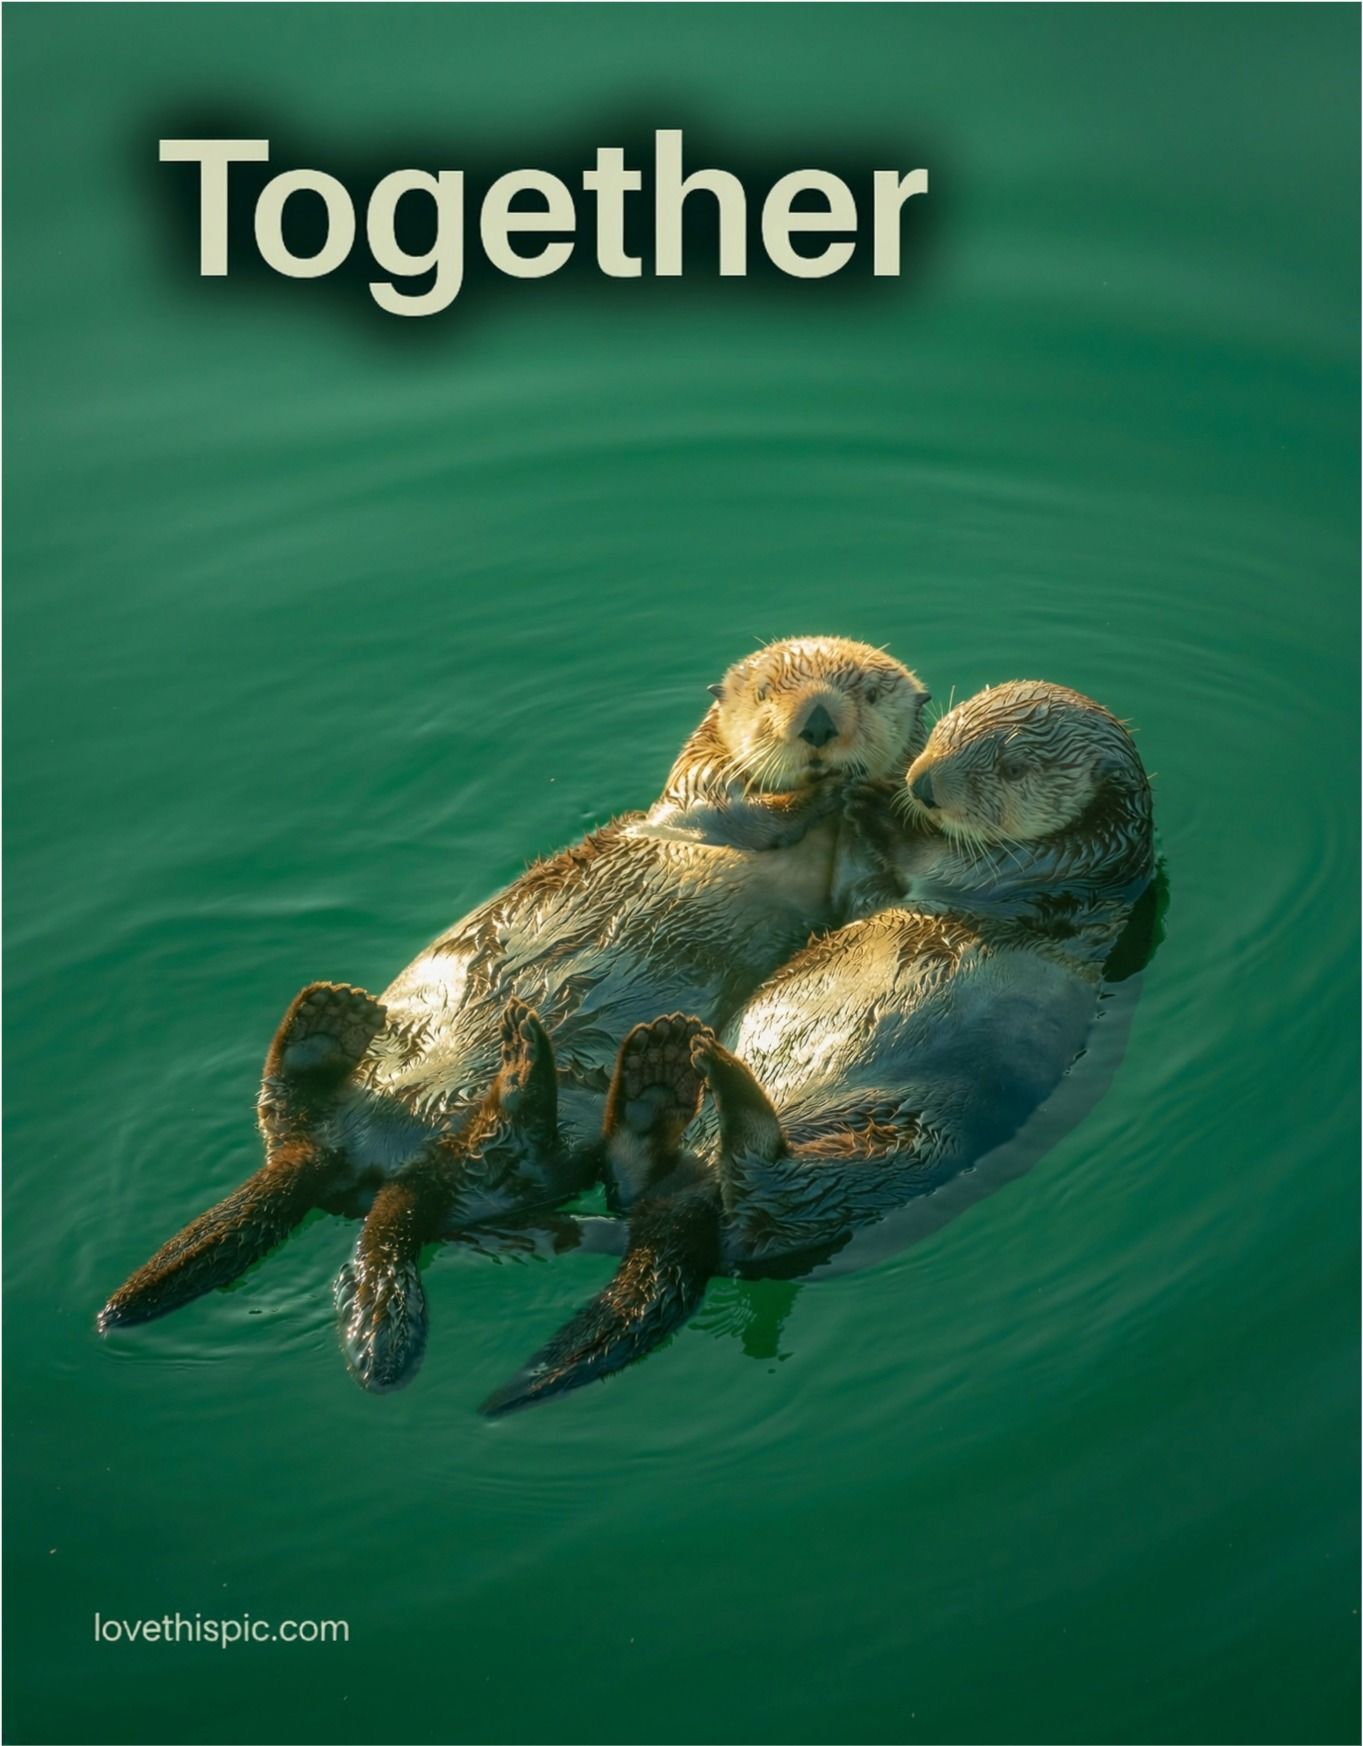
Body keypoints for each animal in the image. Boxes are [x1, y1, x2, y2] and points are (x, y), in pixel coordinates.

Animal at [98, 636, 931, 1392]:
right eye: (767, 693)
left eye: (866, 693)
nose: (817, 724)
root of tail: (375, 1162)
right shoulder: (696, 792)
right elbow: (731, 799)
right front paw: (820, 792)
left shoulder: (845, 888)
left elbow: (869, 887)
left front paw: (863, 795)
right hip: (377, 1102)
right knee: (285, 1119)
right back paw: (329, 1025)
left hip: (508, 1173)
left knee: (499, 1154)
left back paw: (510, 1069)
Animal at [481, 680, 1155, 1412]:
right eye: (947, 729)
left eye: (1009, 768)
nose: (923, 782)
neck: (1099, 866)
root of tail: (684, 1209)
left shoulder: (1044, 866)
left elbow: (934, 860)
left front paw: (869, 799)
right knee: (637, 1185)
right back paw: (649, 1076)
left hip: (885, 1158)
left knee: (764, 1205)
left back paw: (712, 1078)